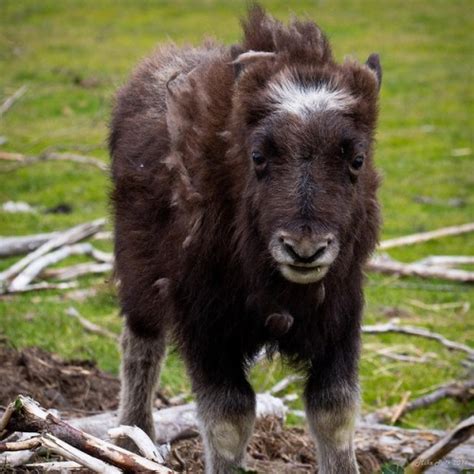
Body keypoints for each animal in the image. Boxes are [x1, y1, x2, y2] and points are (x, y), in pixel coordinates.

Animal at [110, 4, 382, 474]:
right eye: (259, 156)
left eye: (357, 159)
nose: (304, 250)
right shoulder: (205, 322)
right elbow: (229, 416)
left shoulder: (341, 316)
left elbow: (334, 410)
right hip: (138, 272)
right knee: (141, 345)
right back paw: (133, 437)